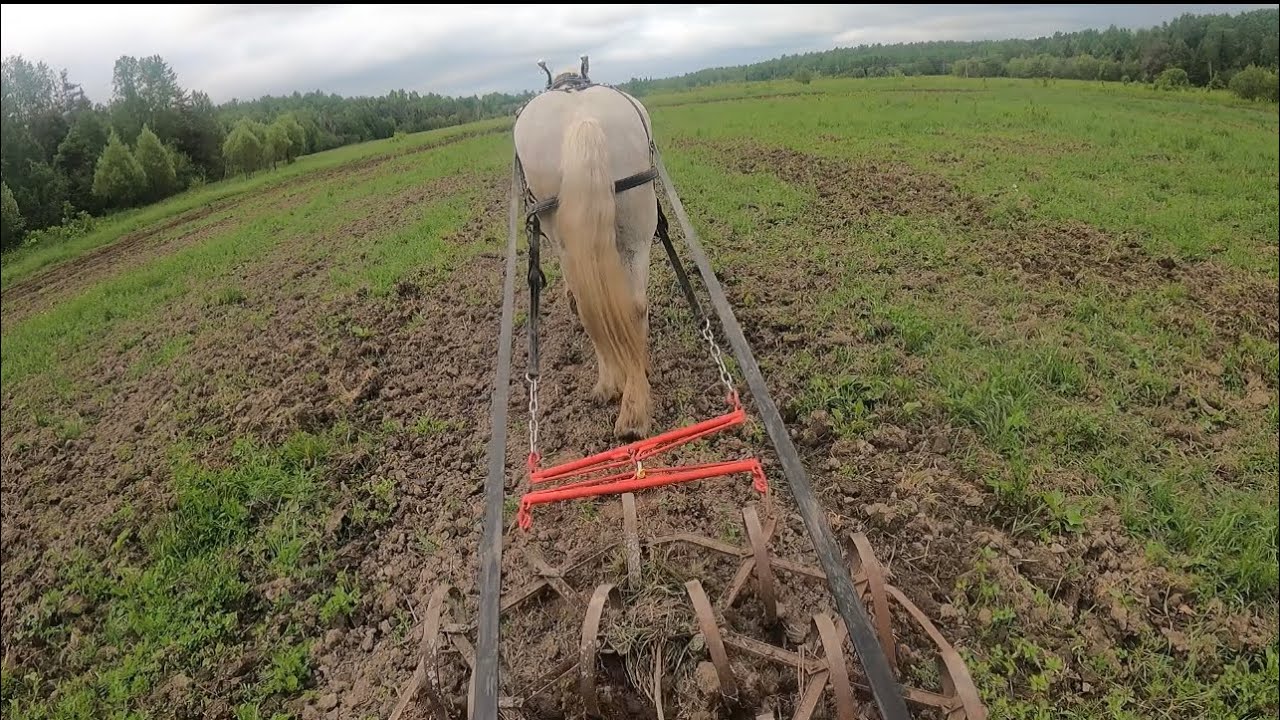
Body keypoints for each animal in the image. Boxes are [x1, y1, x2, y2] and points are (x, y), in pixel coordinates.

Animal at [513, 63, 658, 440]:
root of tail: (584, 120)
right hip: (638, 226)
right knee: (634, 304)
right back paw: (635, 404)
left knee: (587, 304)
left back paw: (610, 385)